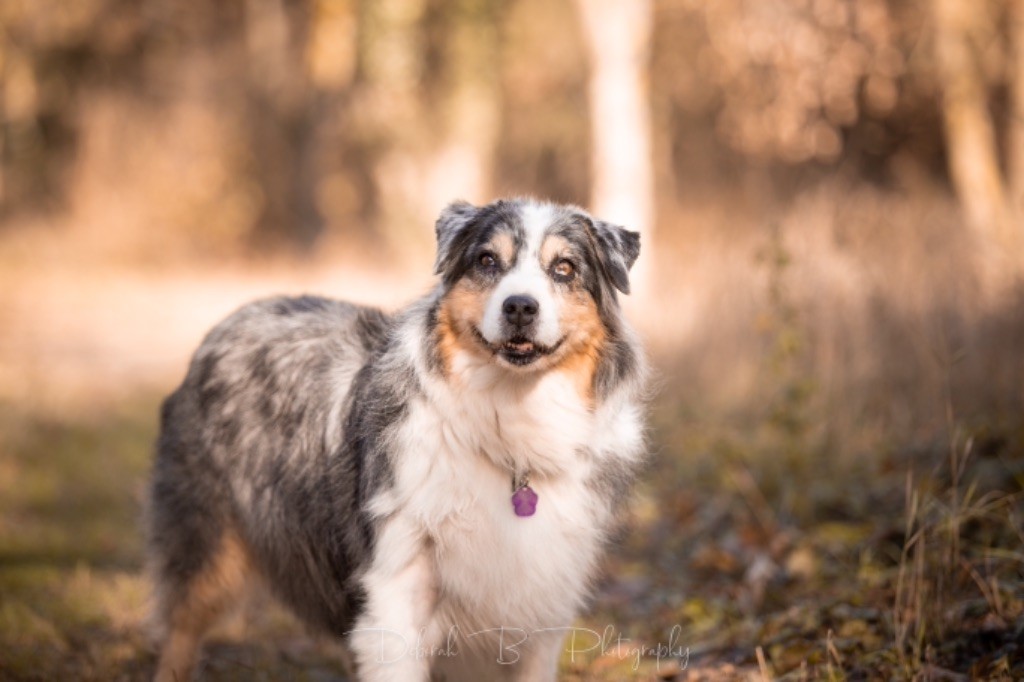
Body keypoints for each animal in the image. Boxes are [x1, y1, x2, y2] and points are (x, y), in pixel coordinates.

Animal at [147, 196, 647, 679]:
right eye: (487, 260)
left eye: (564, 268)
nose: (520, 307)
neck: (511, 421)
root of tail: (237, 314)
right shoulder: (395, 591)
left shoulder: (542, 605)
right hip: (206, 544)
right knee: (180, 631)